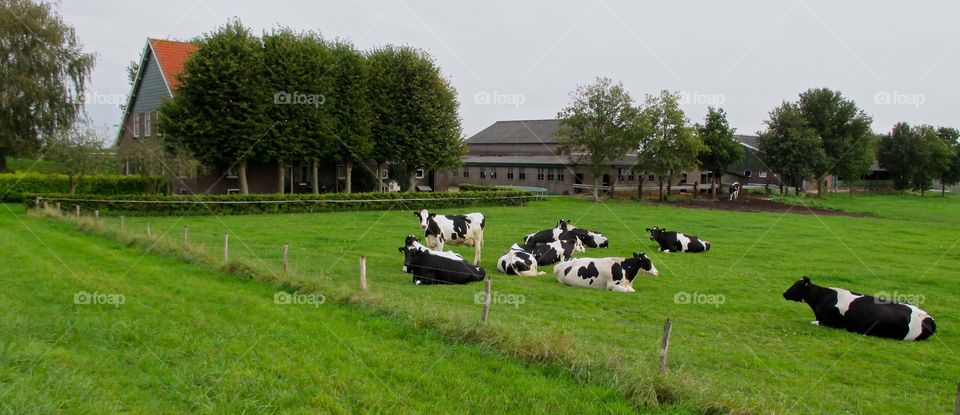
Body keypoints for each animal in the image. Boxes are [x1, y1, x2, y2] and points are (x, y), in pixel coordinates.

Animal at [780, 276, 936, 342]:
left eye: (796, 285)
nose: (784, 293)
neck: (823, 297)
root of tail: (929, 318)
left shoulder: (831, 323)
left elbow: (812, 323)